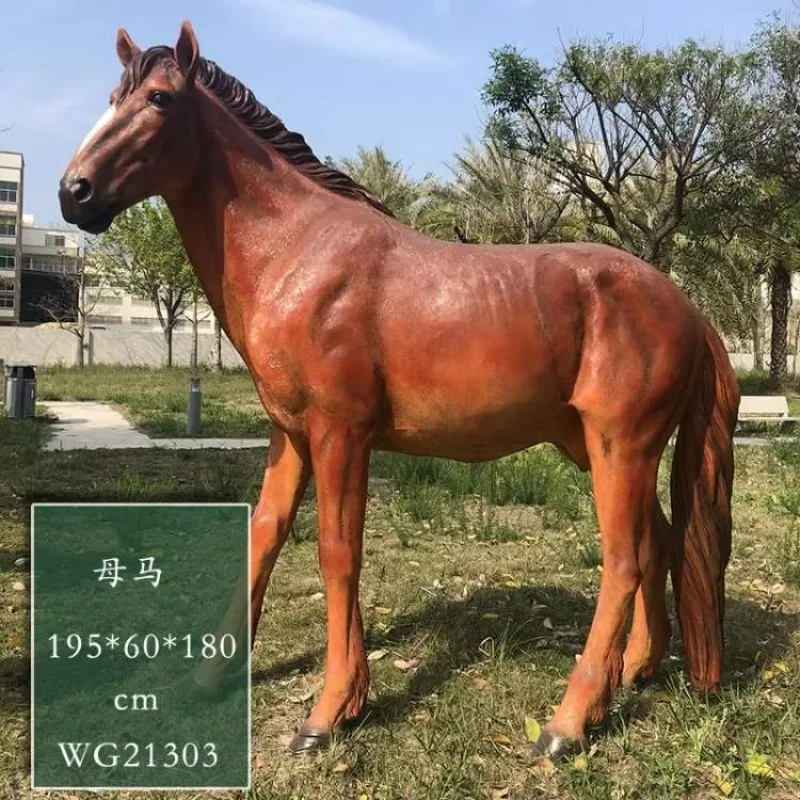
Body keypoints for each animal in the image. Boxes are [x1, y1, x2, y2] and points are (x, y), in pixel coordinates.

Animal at [59, 21, 740, 758]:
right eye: (113, 97)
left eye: (159, 99)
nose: (74, 191)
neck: (299, 251)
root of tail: (685, 306)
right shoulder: (289, 434)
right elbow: (263, 537)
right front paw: (210, 677)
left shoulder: (340, 434)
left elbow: (337, 553)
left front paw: (330, 712)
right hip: (596, 449)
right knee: (660, 542)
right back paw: (636, 669)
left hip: (622, 446)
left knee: (623, 561)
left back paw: (568, 722)